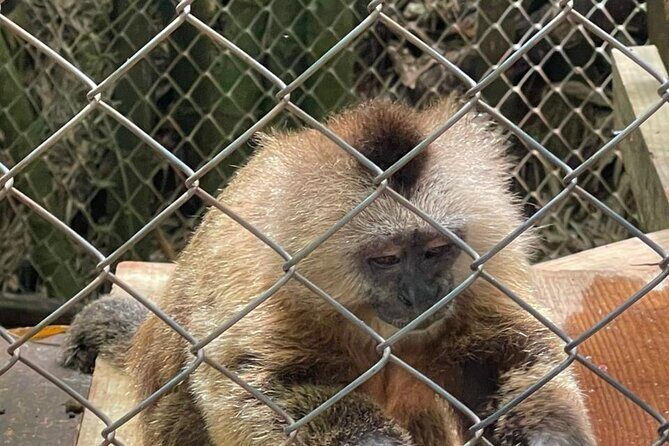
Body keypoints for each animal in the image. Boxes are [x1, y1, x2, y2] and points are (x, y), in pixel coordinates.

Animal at [60, 96, 596, 446]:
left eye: (434, 251)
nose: (422, 295)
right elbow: (252, 388)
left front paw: (550, 438)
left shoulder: (480, 276)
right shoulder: (271, 289)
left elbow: (514, 354)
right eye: (387, 260)